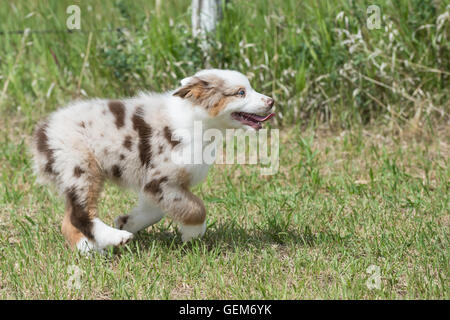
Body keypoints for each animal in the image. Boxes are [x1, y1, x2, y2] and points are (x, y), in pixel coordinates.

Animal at [30, 69, 274, 252]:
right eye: (240, 93)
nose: (271, 101)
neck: (198, 122)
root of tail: (44, 131)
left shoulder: (158, 184)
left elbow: (157, 210)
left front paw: (129, 221)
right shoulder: (160, 180)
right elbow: (197, 208)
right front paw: (192, 235)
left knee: (68, 220)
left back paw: (89, 248)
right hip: (81, 167)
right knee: (80, 215)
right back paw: (115, 238)